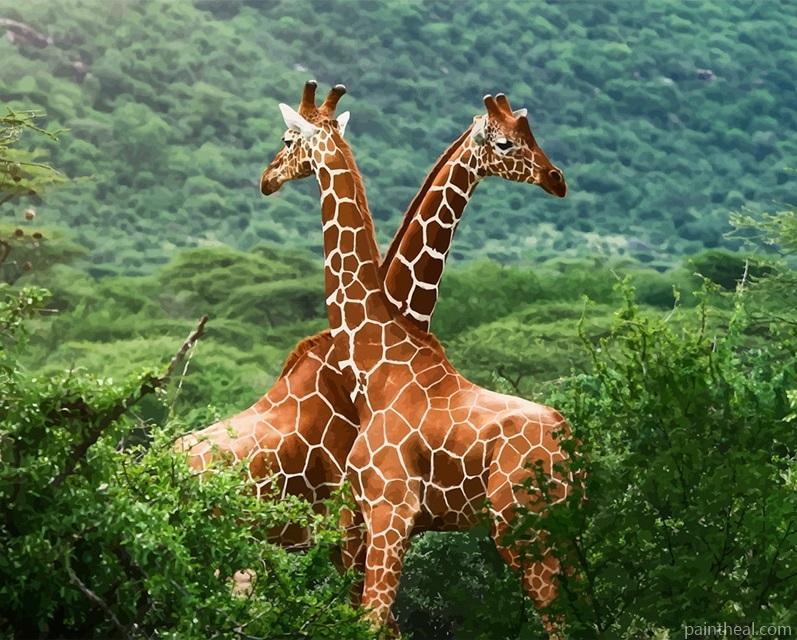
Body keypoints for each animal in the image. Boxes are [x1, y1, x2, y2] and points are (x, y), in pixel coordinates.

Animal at [259, 82, 576, 637]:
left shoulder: (389, 511)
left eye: (286, 138)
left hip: (524, 527)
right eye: (508, 142)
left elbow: (371, 622)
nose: (266, 178)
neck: (376, 359)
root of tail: (573, 446)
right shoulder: (367, 518)